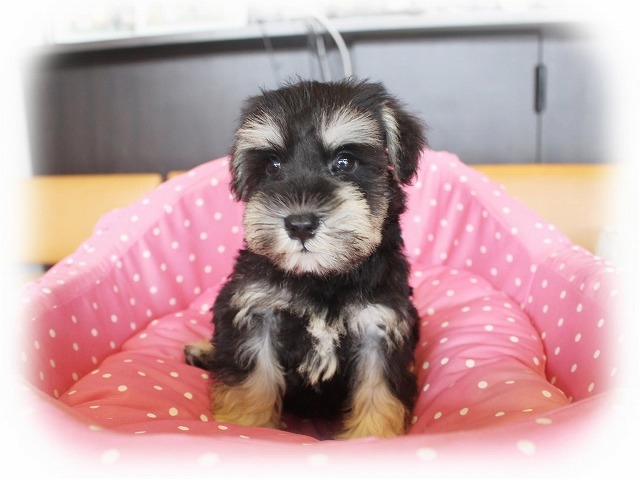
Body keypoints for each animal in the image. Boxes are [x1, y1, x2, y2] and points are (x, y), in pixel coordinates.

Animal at [184, 78, 427, 439]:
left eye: (344, 162)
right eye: (272, 166)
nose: (299, 224)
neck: (321, 279)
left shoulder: (378, 324)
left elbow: (378, 392)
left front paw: (372, 437)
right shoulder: (257, 312)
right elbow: (251, 383)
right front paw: (245, 427)